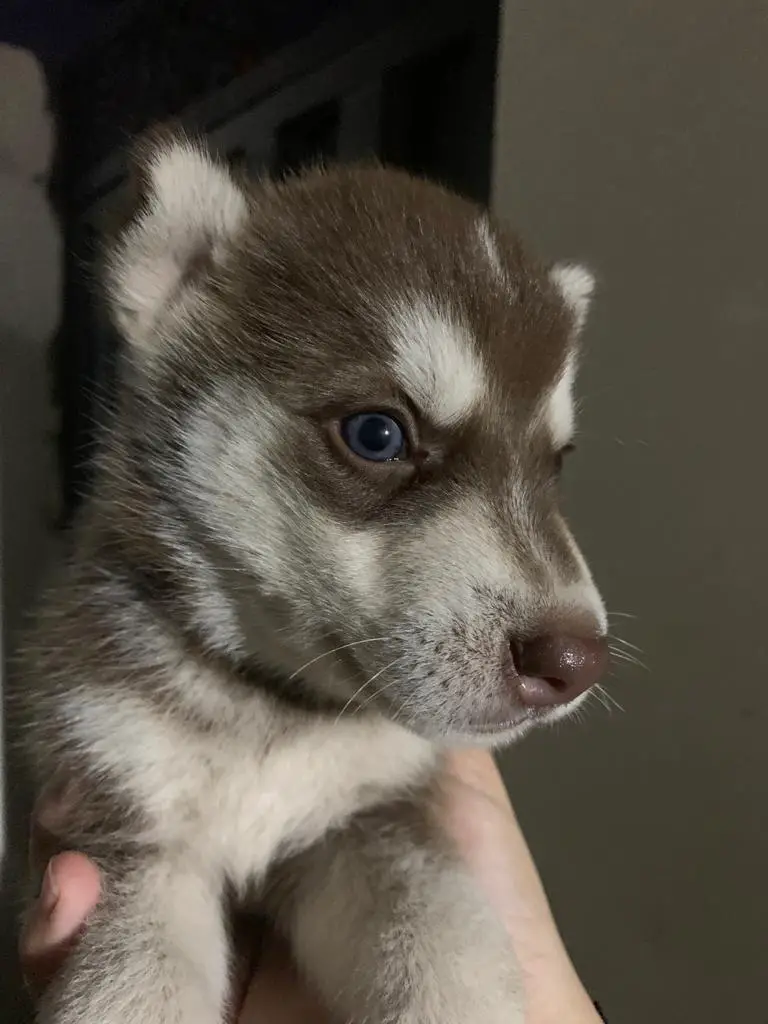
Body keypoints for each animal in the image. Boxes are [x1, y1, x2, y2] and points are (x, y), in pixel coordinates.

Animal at [13, 130, 606, 1024]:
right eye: (377, 434)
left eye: (555, 461)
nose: (575, 661)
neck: (272, 710)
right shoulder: (130, 817)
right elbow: (135, 982)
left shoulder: (370, 820)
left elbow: (453, 944)